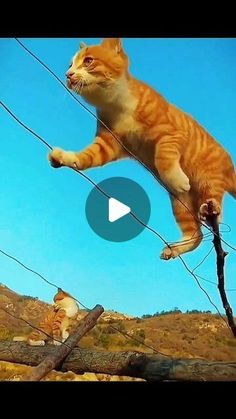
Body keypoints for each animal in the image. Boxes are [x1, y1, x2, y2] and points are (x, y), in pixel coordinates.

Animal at [48, 40, 236, 262]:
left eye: (88, 61)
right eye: (70, 64)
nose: (68, 74)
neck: (117, 105)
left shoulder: (172, 134)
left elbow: (163, 156)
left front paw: (176, 179)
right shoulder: (107, 144)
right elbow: (87, 157)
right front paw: (65, 157)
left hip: (208, 181)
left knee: (215, 209)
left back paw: (207, 206)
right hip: (181, 204)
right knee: (196, 234)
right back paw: (174, 248)